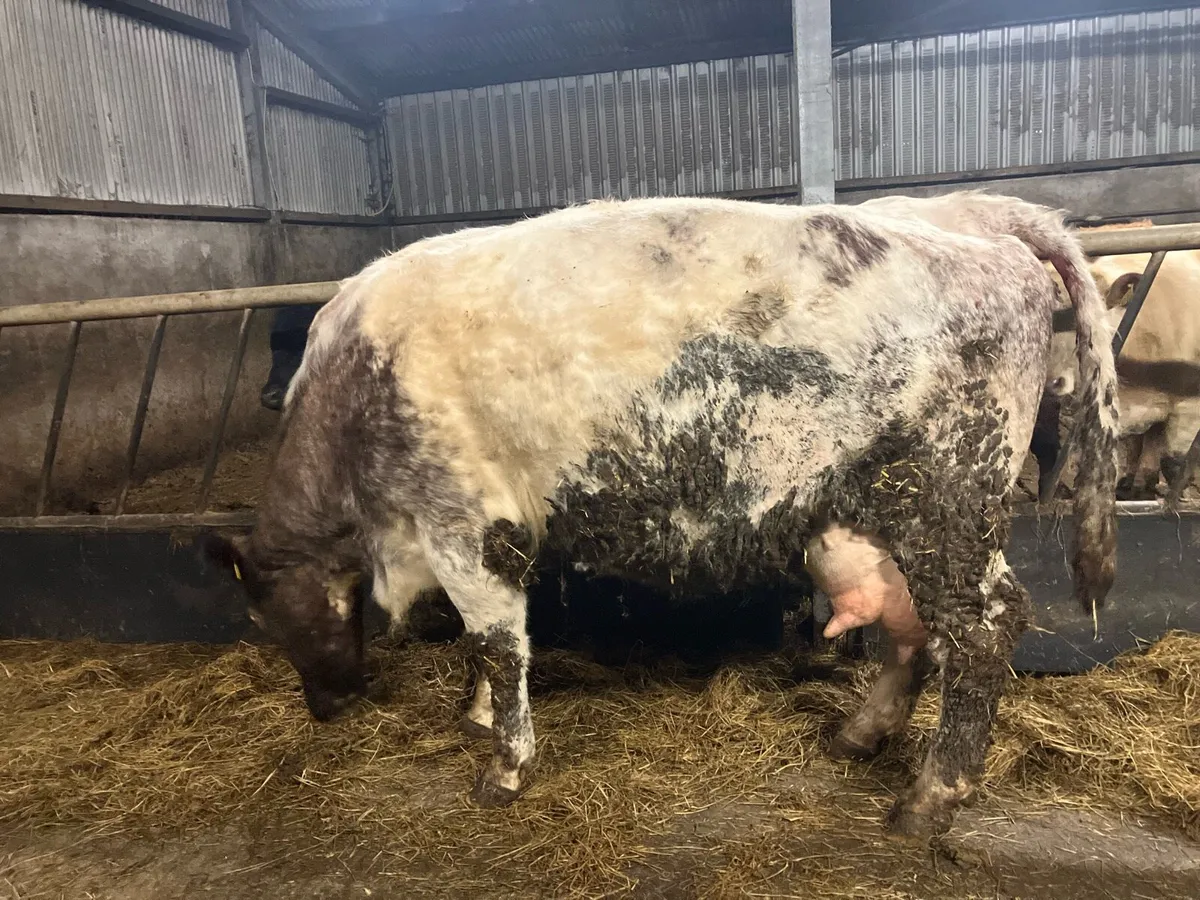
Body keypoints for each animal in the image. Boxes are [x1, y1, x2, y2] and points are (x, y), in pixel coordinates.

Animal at [198, 194, 1117, 841]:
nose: (326, 709)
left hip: (950, 500)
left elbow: (497, 643)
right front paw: (479, 715)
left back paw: (931, 797)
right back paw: (860, 735)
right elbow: (487, 646)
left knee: (986, 628)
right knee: (910, 628)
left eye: (266, 615)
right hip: (878, 512)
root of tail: (980, 219)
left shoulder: (458, 521)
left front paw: (505, 767)